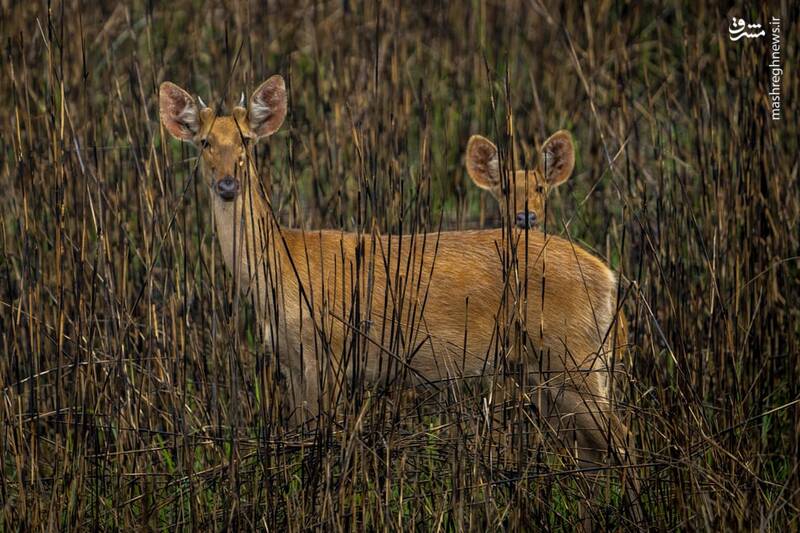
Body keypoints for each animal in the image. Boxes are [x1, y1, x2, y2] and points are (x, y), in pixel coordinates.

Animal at [156, 76, 632, 470]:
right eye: (203, 142)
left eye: (246, 141)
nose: (227, 185)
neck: (283, 267)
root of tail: (610, 279)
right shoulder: (292, 363)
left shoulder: (328, 350)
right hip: (550, 369)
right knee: (595, 451)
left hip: (575, 356)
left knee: (621, 440)